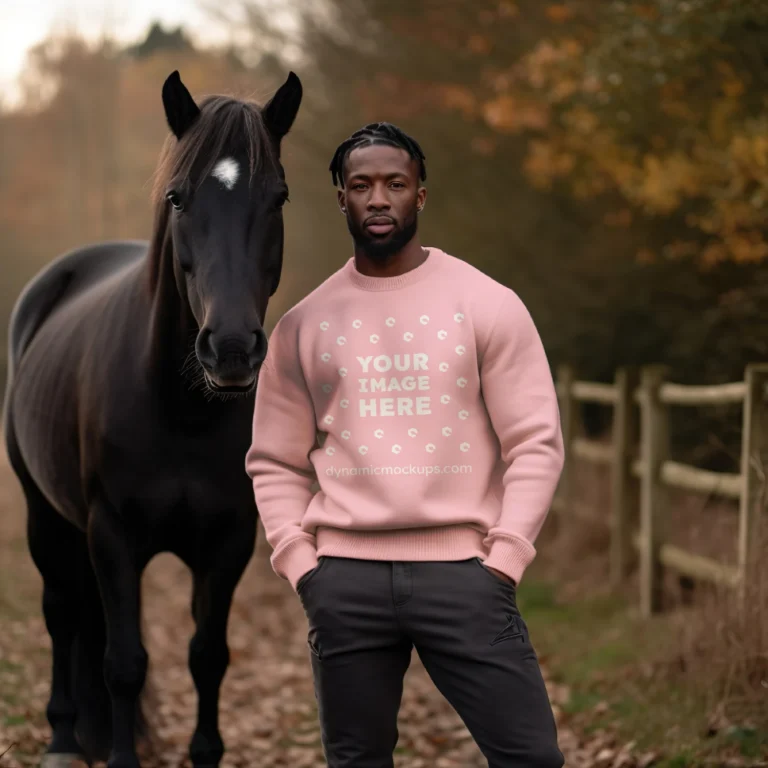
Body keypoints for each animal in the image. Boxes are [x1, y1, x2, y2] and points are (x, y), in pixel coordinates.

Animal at [3, 67, 304, 768]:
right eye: (177, 197)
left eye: (278, 197)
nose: (231, 347)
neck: (180, 411)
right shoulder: (112, 535)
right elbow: (124, 663)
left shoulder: (228, 542)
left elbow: (208, 657)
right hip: (44, 516)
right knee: (62, 612)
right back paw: (63, 739)